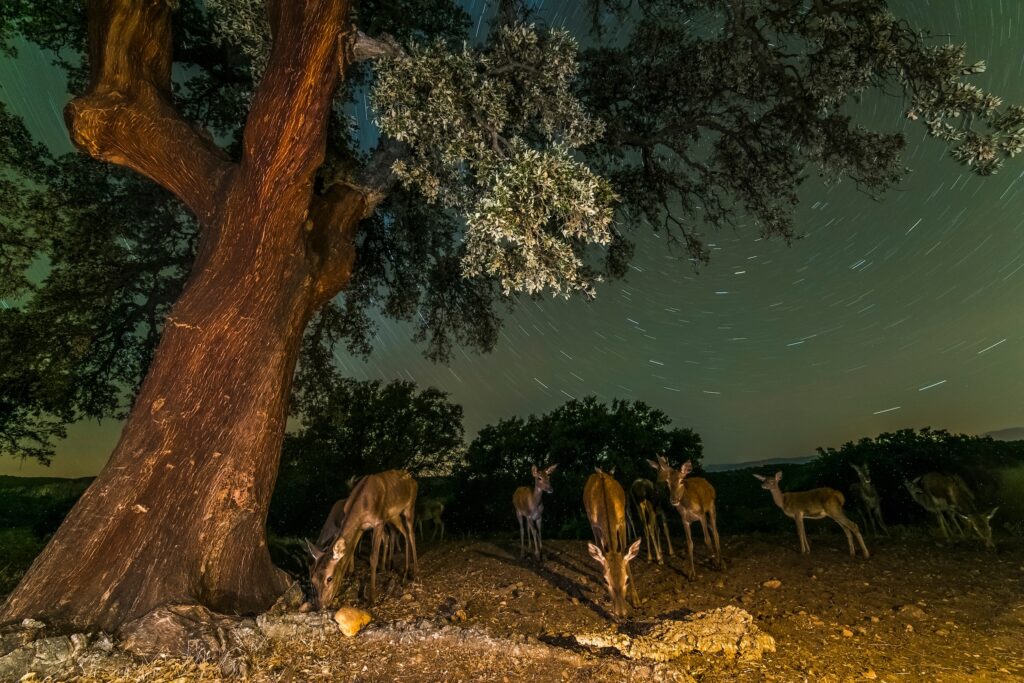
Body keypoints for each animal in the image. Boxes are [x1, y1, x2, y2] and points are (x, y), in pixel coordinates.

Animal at [308, 470, 418, 607]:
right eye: (312, 579)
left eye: (330, 578)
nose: (321, 605)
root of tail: (414, 481)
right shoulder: (361, 528)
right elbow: (350, 552)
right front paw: (351, 573)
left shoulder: (379, 521)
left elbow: (373, 557)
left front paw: (372, 599)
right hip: (394, 516)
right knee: (404, 534)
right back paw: (404, 574)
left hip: (410, 506)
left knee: (411, 534)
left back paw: (415, 574)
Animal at [584, 469, 642, 621]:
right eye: (606, 581)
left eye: (626, 580)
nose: (621, 614)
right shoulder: (594, 525)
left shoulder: (622, 522)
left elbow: (626, 557)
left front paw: (636, 600)